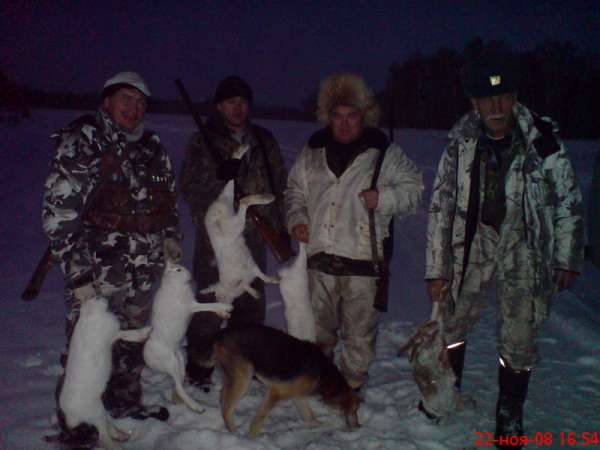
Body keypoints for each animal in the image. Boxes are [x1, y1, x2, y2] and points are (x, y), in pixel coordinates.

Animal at [212, 326, 360, 438]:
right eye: (355, 410)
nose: (359, 426)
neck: (325, 375)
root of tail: (221, 333)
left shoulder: (297, 395)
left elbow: (309, 415)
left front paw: (318, 425)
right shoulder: (277, 392)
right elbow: (260, 418)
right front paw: (252, 438)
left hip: (233, 378)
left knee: (222, 398)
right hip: (243, 379)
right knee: (226, 410)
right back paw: (234, 434)